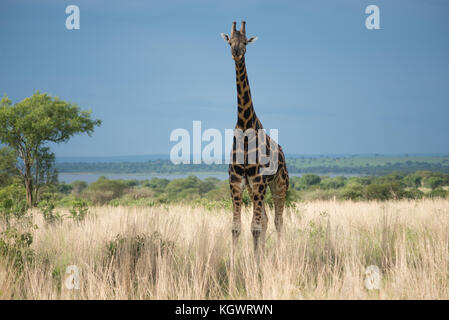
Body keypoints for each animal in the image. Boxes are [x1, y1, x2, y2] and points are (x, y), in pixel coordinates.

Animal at [220, 21, 288, 256]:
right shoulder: (237, 181)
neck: (244, 125)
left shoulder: (259, 180)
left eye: (246, 42)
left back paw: (279, 254)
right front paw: (235, 261)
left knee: (278, 221)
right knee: (267, 220)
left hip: (279, 185)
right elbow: (236, 228)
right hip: (254, 188)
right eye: (230, 42)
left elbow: (255, 227)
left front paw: (257, 263)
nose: (236, 52)